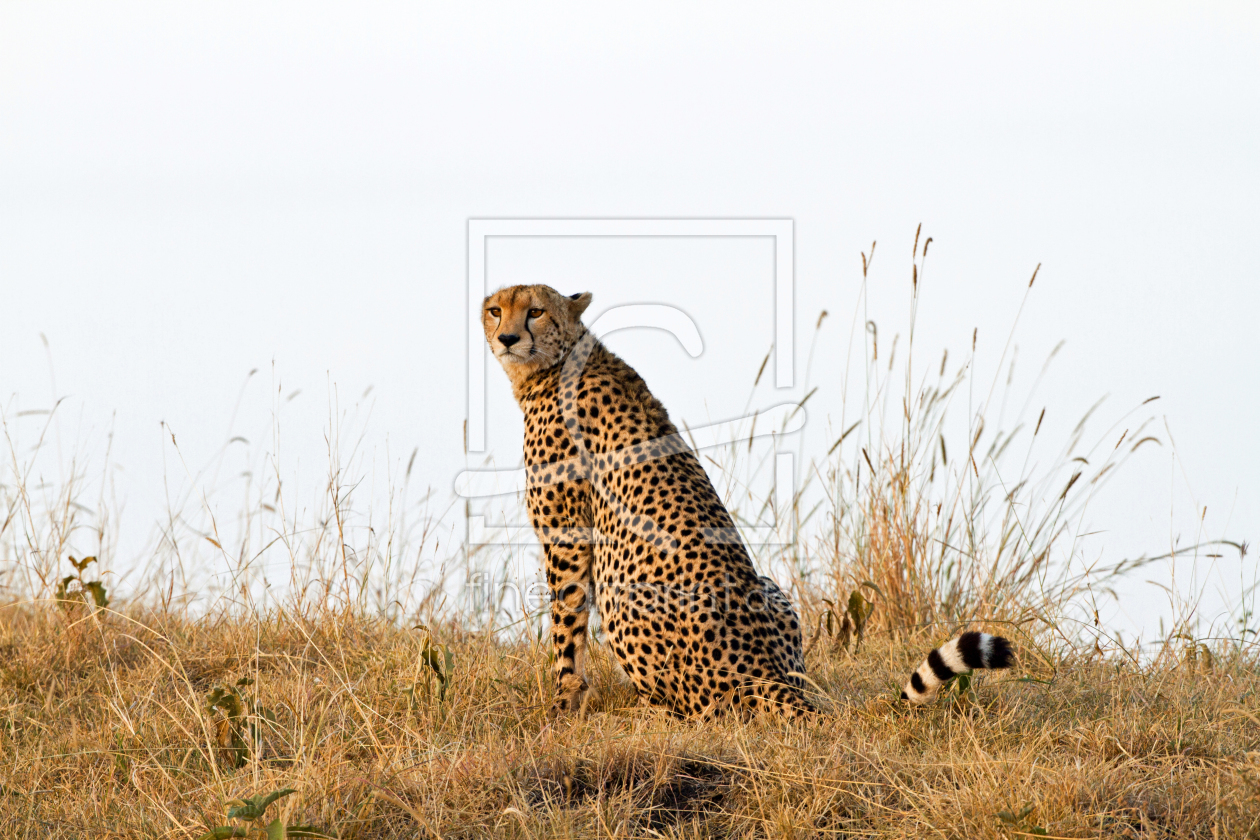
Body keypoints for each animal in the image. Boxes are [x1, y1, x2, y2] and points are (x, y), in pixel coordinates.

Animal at [481, 285, 1013, 720]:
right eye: (495, 310)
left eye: (534, 311)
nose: (507, 337)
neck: (561, 359)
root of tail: (768, 675)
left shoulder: (566, 535)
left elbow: (565, 621)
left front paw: (564, 700)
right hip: (771, 591)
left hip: (625, 594)